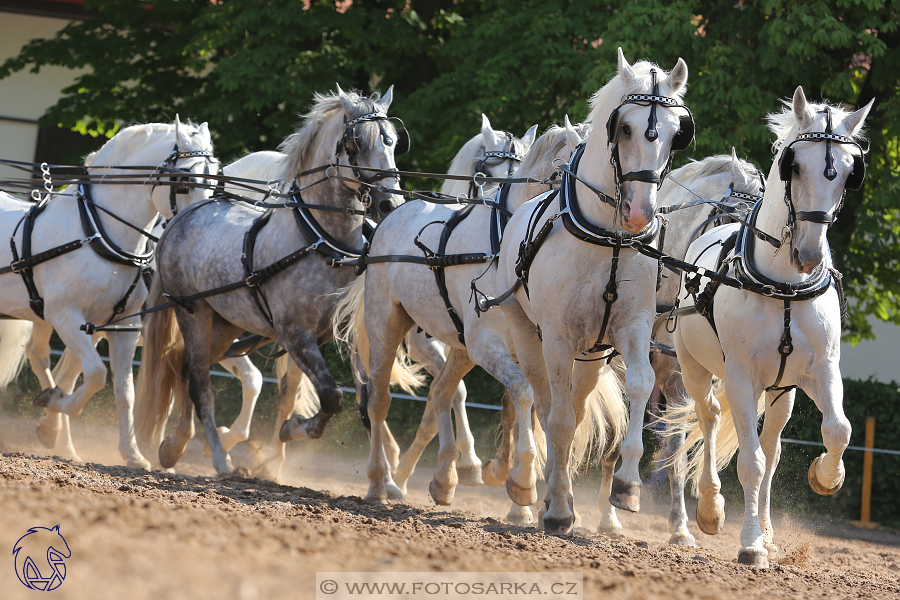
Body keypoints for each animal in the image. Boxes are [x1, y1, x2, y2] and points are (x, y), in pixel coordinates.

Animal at [0, 119, 216, 466]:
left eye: (216, 178)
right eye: (183, 180)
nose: (199, 228)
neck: (97, 232)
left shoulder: (122, 327)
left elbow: (123, 391)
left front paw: (132, 454)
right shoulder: (66, 317)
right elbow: (96, 374)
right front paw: (56, 404)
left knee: (38, 354)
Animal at [496, 48, 692, 536]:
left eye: (676, 133)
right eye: (625, 128)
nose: (640, 212)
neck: (609, 239)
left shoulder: (634, 327)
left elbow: (640, 385)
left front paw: (627, 486)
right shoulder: (557, 337)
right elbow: (559, 420)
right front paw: (556, 508)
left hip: (592, 354)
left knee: (577, 409)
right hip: (529, 336)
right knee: (548, 407)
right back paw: (544, 496)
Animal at [668, 85, 872, 568]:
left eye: (848, 173)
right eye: (793, 165)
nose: (809, 254)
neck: (784, 286)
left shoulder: (822, 370)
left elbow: (837, 430)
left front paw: (826, 477)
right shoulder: (742, 377)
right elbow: (750, 462)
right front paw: (749, 543)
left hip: (782, 390)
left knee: (774, 447)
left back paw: (769, 530)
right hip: (694, 367)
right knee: (709, 417)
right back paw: (711, 509)